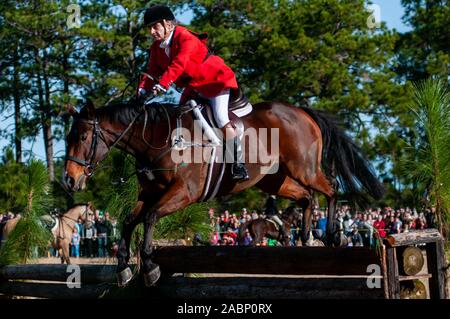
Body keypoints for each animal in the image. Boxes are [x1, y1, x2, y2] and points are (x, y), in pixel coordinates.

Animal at [63, 97, 384, 288]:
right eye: (68, 136)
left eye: (83, 136)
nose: (69, 179)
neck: (157, 138)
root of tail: (302, 111)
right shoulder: (149, 194)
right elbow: (130, 222)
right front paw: (123, 269)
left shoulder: (184, 192)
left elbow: (150, 218)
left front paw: (150, 267)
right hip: (274, 180)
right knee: (307, 197)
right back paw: (306, 237)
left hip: (303, 167)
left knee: (331, 189)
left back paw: (331, 235)